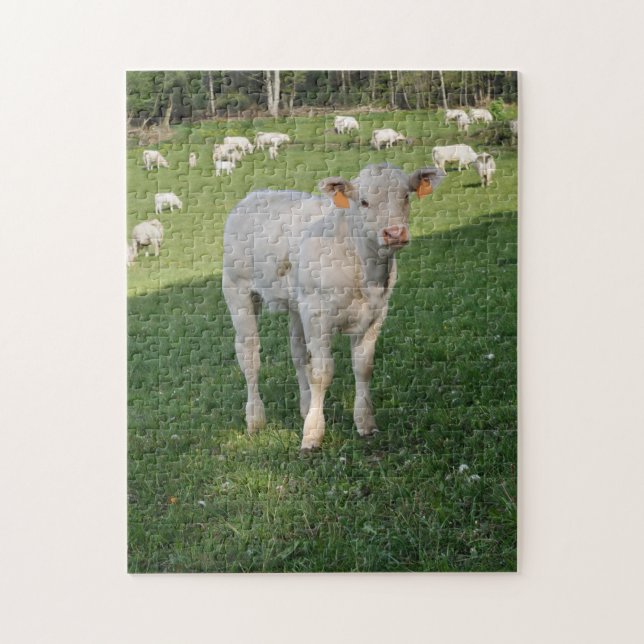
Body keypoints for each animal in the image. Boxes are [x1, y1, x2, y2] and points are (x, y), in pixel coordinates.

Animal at [222, 163, 446, 450]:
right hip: (237, 290)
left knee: (298, 353)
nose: (395, 233)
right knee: (249, 355)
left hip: (297, 304)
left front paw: (365, 423)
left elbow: (362, 367)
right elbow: (322, 372)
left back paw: (305, 406)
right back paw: (255, 419)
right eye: (363, 201)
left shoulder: (375, 314)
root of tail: (255, 194)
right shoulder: (318, 317)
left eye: (406, 196)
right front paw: (312, 434)